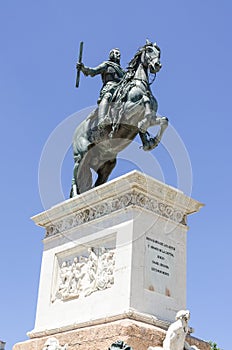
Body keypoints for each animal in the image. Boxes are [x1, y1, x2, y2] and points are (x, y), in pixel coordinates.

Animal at [70, 41, 169, 197]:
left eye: (159, 52)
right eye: (149, 50)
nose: (157, 65)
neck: (139, 84)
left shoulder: (149, 118)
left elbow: (163, 120)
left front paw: (151, 142)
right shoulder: (126, 112)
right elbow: (144, 101)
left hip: (106, 165)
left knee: (95, 184)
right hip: (80, 157)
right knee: (75, 180)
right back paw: (75, 197)